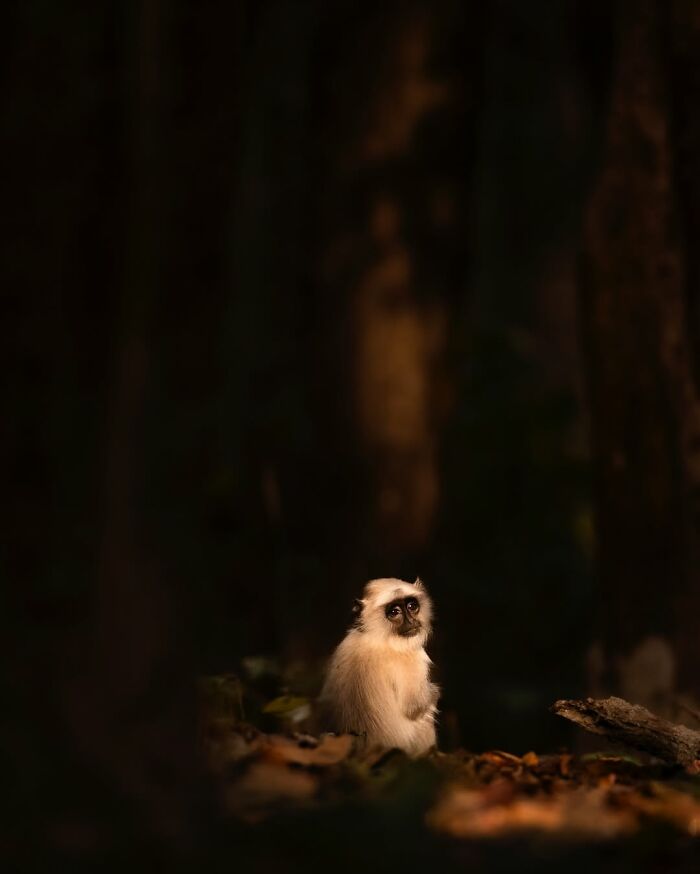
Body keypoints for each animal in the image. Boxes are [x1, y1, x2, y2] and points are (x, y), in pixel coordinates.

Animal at [319, 577, 439, 757]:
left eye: (412, 606)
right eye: (394, 612)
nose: (411, 622)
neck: (376, 637)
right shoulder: (413, 658)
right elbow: (415, 707)